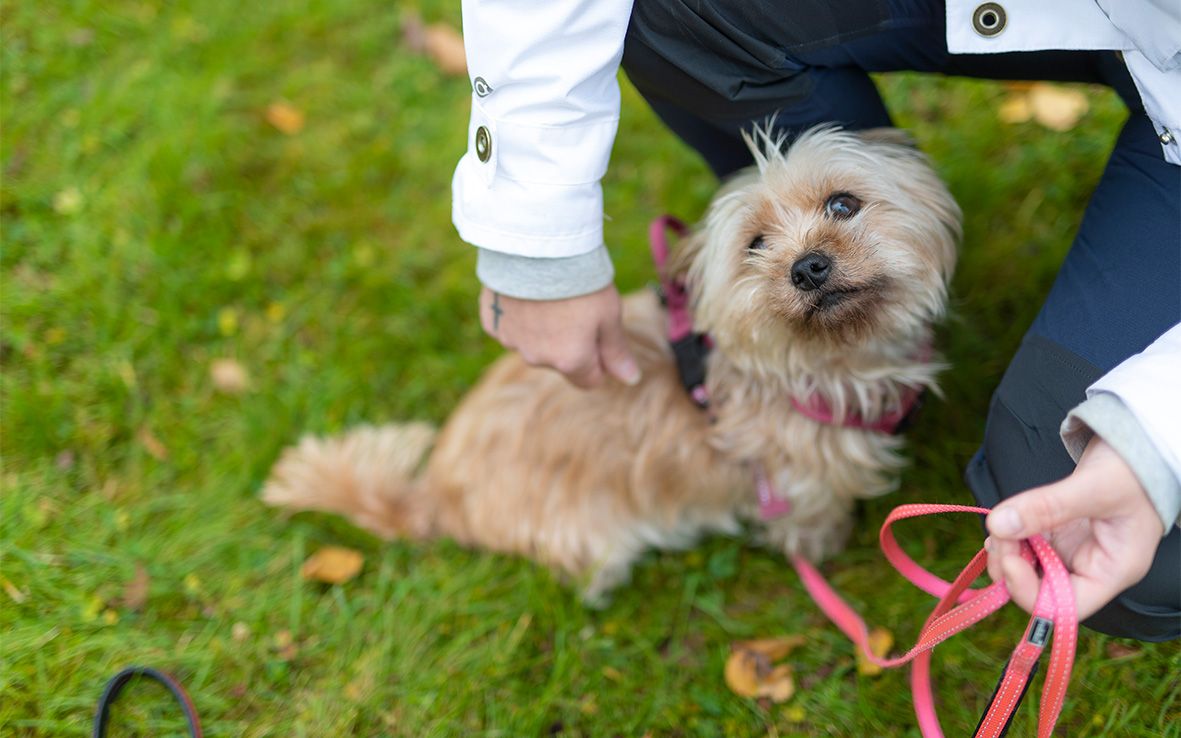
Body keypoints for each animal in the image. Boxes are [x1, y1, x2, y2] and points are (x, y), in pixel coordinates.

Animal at [265, 125, 958, 599]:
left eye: (843, 204)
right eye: (755, 245)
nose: (807, 267)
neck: (821, 364)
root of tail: (436, 490)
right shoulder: (797, 487)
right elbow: (812, 523)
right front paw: (825, 550)